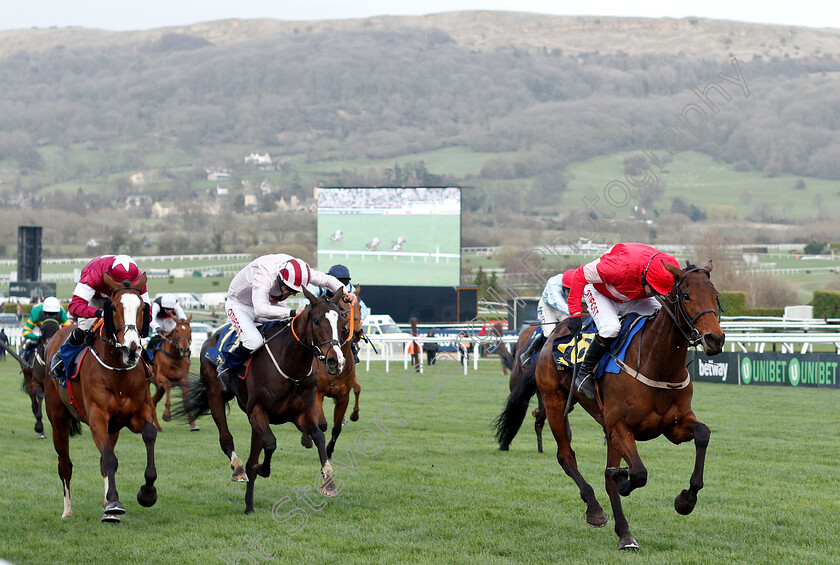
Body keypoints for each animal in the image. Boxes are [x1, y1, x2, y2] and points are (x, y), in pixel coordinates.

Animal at [43, 274, 158, 520]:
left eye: (143, 307)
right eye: (113, 307)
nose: (132, 348)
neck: (118, 372)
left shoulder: (135, 413)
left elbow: (149, 434)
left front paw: (147, 493)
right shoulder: (97, 417)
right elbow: (111, 459)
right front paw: (114, 503)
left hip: (113, 428)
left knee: (103, 461)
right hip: (58, 420)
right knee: (65, 465)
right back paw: (67, 510)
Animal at [187, 288, 348, 512]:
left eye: (341, 323)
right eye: (316, 321)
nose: (336, 361)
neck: (290, 365)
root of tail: (211, 339)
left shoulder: (301, 414)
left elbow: (319, 437)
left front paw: (328, 481)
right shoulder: (257, 411)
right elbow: (271, 443)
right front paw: (263, 469)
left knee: (251, 457)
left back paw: (249, 506)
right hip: (215, 396)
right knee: (226, 439)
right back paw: (238, 469)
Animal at [496, 262, 724, 548]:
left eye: (716, 296)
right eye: (686, 296)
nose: (715, 339)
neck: (656, 361)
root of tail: (551, 337)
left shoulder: (674, 426)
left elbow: (703, 433)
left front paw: (686, 500)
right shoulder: (620, 426)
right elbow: (638, 473)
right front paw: (624, 480)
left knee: (604, 472)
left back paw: (624, 532)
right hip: (555, 402)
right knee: (566, 456)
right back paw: (596, 511)